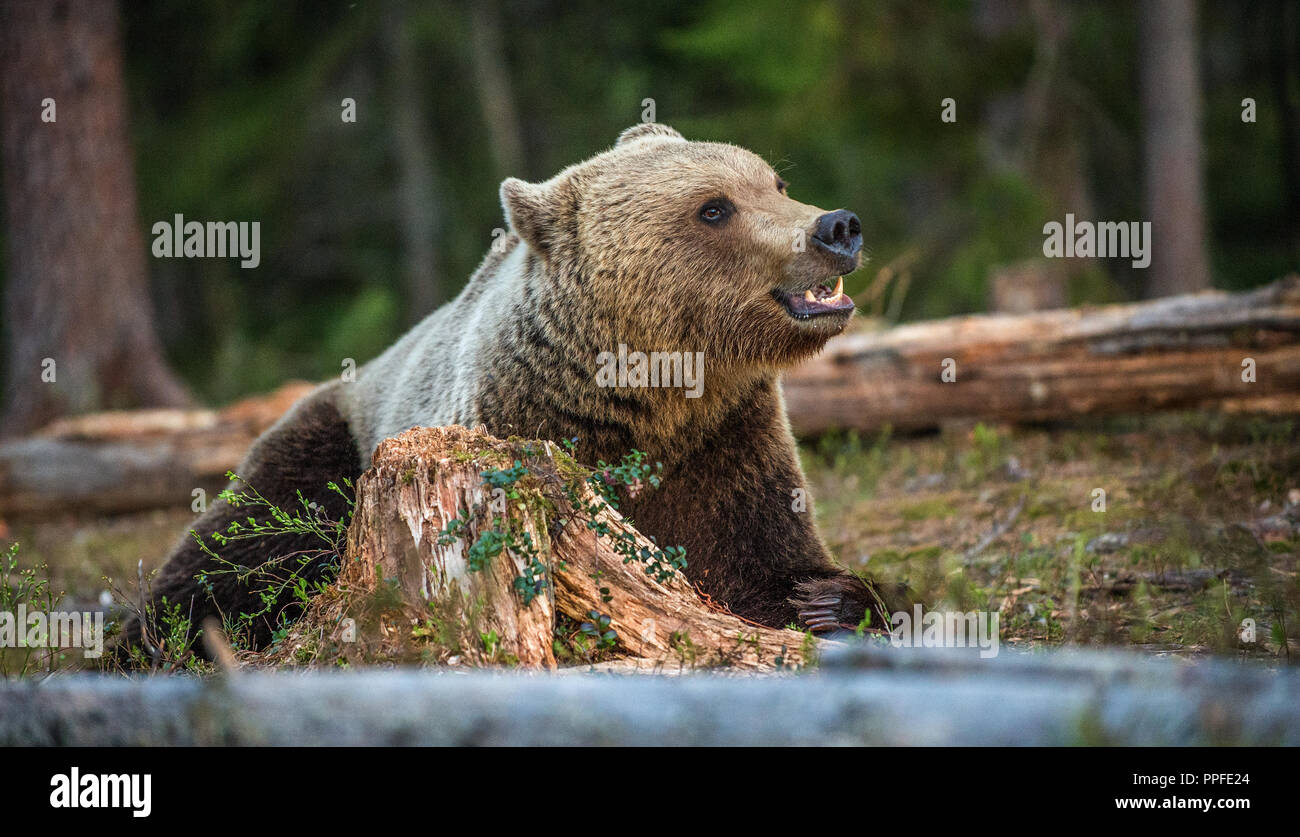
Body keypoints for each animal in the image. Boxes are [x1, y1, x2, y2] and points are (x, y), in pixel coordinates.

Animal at [122, 124, 894, 657]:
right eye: (713, 208)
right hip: (325, 443)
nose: (837, 227)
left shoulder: (730, 443)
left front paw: (828, 601)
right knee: (231, 549)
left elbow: (769, 559)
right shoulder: (519, 428)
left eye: (774, 182)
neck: (654, 399)